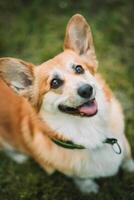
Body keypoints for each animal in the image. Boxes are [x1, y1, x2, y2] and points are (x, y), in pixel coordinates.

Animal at [0, 14, 133, 194]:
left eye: (79, 69)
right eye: (54, 83)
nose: (86, 90)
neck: (90, 130)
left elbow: (127, 158)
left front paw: (130, 168)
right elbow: (81, 178)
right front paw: (88, 188)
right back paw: (20, 157)